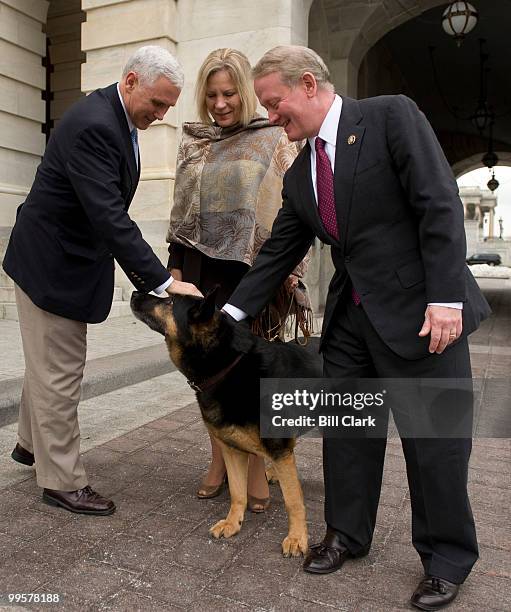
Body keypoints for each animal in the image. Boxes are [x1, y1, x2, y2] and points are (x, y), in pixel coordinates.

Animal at [133, 290, 324, 556]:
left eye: (170, 301)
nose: (134, 293)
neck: (229, 365)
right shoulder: (232, 450)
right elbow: (237, 492)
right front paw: (233, 523)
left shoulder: (277, 447)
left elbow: (293, 500)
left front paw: (297, 538)